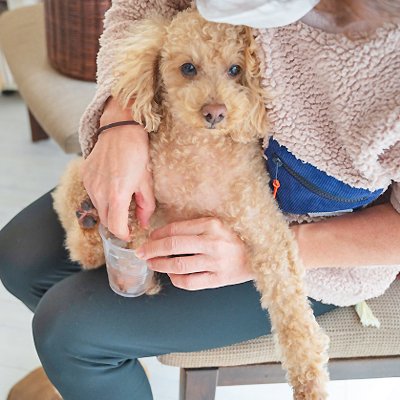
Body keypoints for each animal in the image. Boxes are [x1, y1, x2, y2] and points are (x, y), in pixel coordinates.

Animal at [52, 7, 328, 398]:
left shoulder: (266, 232)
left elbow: (292, 310)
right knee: (82, 240)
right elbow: (132, 235)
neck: (200, 151)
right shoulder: (141, 203)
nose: (215, 112)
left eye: (235, 69)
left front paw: (311, 383)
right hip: (84, 172)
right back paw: (88, 221)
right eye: (188, 68)